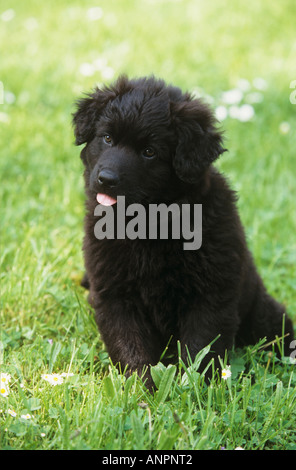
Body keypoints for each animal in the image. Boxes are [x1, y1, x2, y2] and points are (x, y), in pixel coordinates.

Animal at [73, 76, 294, 386]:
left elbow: (201, 346)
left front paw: (194, 386)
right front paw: (141, 386)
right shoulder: (114, 293)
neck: (147, 226)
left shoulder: (211, 293)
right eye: (107, 138)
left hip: (263, 313)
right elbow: (129, 344)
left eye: (149, 152)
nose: (106, 179)